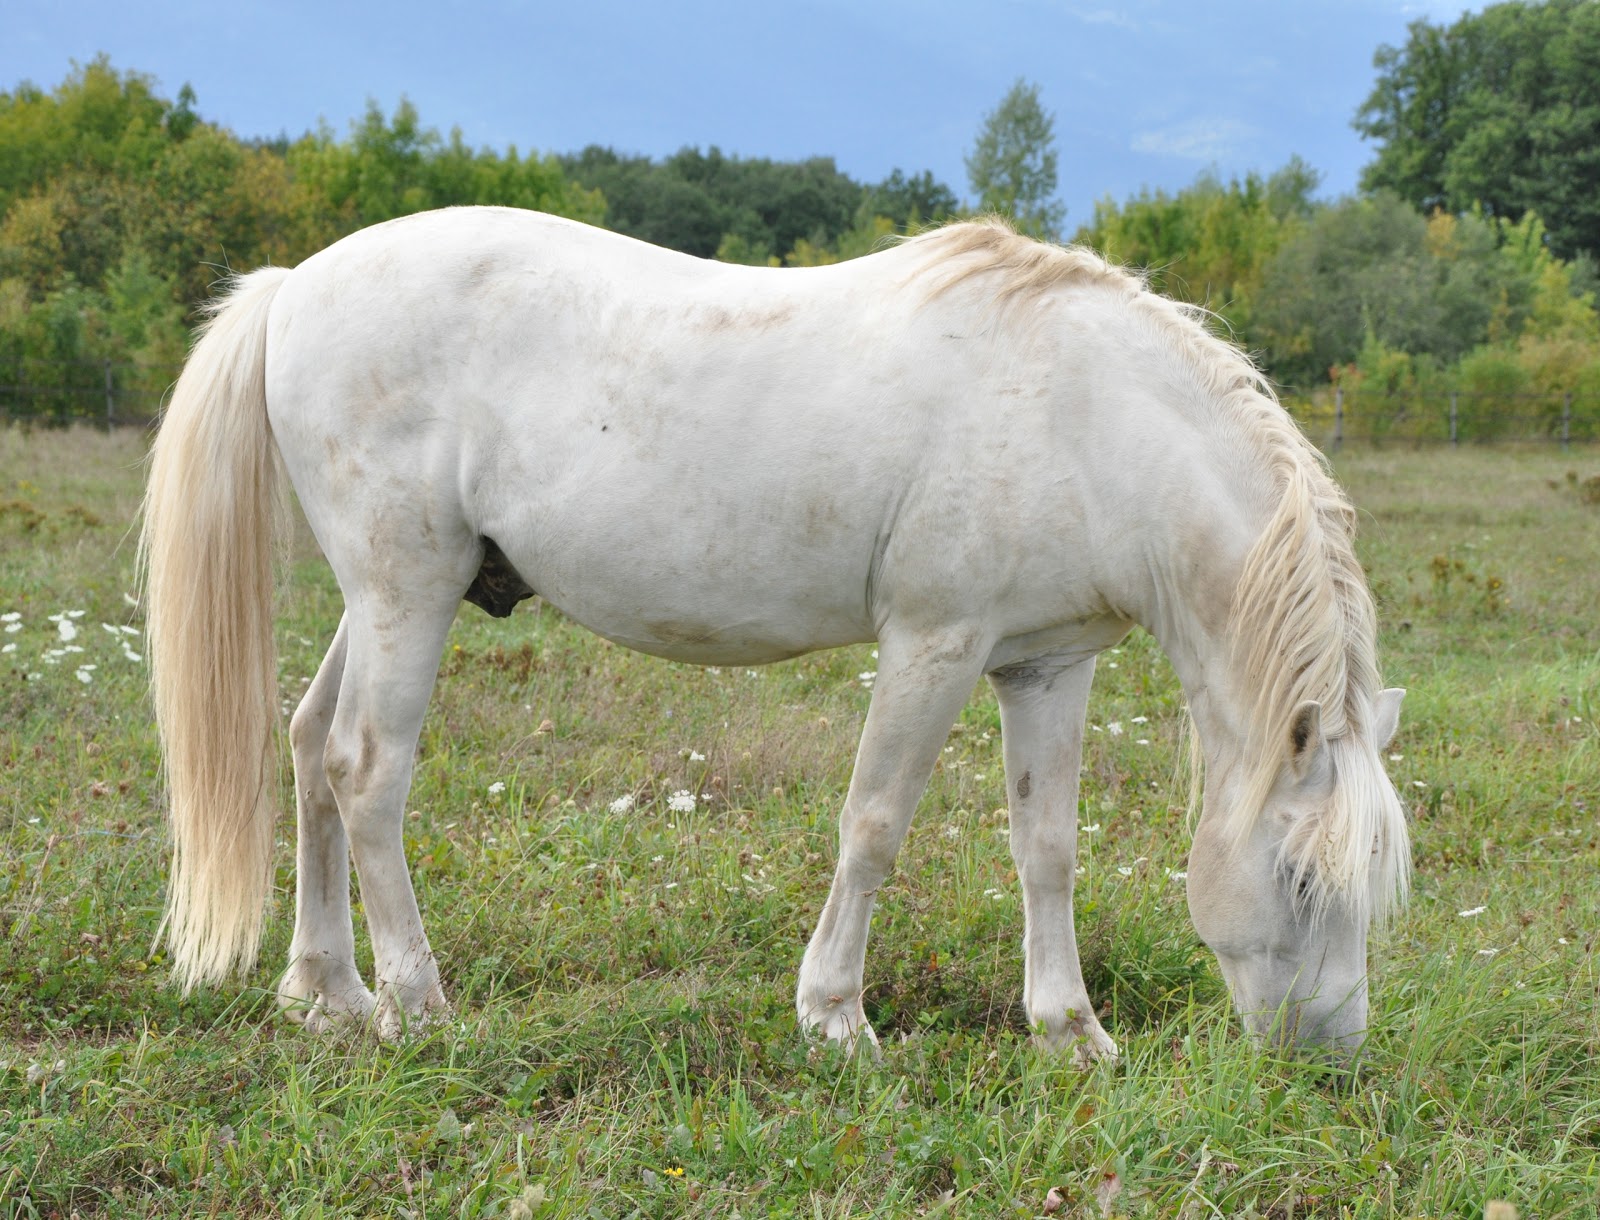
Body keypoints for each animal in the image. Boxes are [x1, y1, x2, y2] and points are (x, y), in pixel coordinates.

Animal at [141, 208, 1408, 1061]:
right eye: (1301, 874)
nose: (1330, 1051)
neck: (1088, 412)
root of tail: (294, 285)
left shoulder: (1045, 664)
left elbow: (1044, 845)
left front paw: (1069, 1031)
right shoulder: (933, 643)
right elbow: (874, 824)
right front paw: (835, 1016)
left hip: (384, 599)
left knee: (310, 745)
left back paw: (328, 992)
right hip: (407, 590)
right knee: (369, 769)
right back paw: (418, 1000)